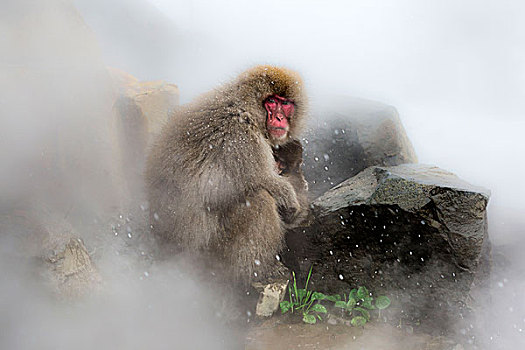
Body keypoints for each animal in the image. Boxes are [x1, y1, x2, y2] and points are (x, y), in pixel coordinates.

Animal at [144, 65, 308, 284]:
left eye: (286, 103)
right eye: (272, 102)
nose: (280, 118)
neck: (244, 108)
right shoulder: (240, 137)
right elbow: (263, 181)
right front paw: (289, 199)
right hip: (209, 252)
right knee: (260, 200)